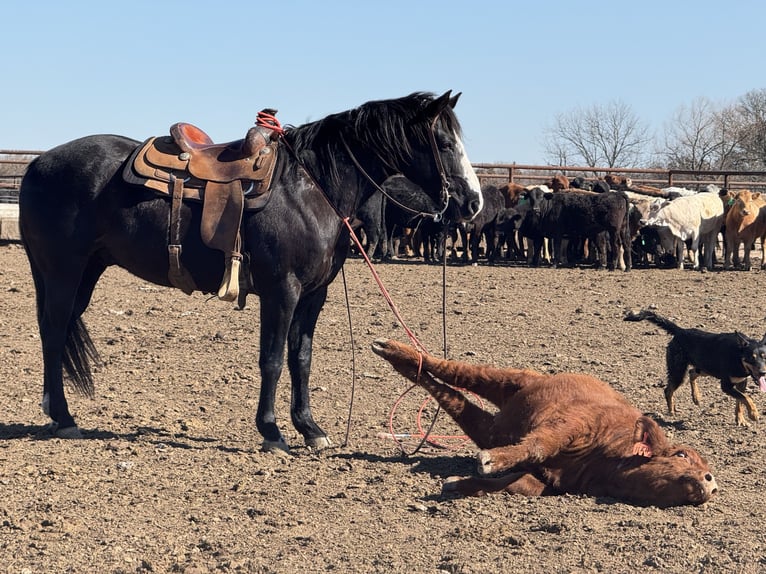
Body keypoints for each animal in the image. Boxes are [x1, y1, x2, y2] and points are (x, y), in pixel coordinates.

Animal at [21, 90, 484, 452]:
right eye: (444, 143)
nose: (473, 203)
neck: (311, 187)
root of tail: (37, 165)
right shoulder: (282, 290)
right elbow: (273, 359)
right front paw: (272, 432)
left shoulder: (314, 294)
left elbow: (301, 358)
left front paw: (310, 429)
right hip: (62, 271)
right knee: (54, 331)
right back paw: (64, 417)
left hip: (87, 270)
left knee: (58, 329)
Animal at [372, 340, 720, 510]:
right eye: (681, 455)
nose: (711, 481)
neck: (608, 459)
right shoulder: (571, 423)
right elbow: (541, 444)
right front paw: (490, 461)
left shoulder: (551, 482)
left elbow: (517, 484)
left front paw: (458, 483)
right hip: (508, 379)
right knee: (455, 370)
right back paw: (390, 348)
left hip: (489, 426)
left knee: (454, 399)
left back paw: (402, 363)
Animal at [628, 310, 764, 428]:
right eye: (751, 358)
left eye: (764, 356)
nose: (763, 373)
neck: (738, 355)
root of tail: (681, 331)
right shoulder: (726, 386)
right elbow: (746, 398)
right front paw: (753, 414)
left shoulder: (741, 381)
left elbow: (740, 401)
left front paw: (741, 419)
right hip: (678, 371)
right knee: (668, 389)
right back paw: (671, 410)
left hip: (704, 367)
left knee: (692, 372)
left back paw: (696, 397)